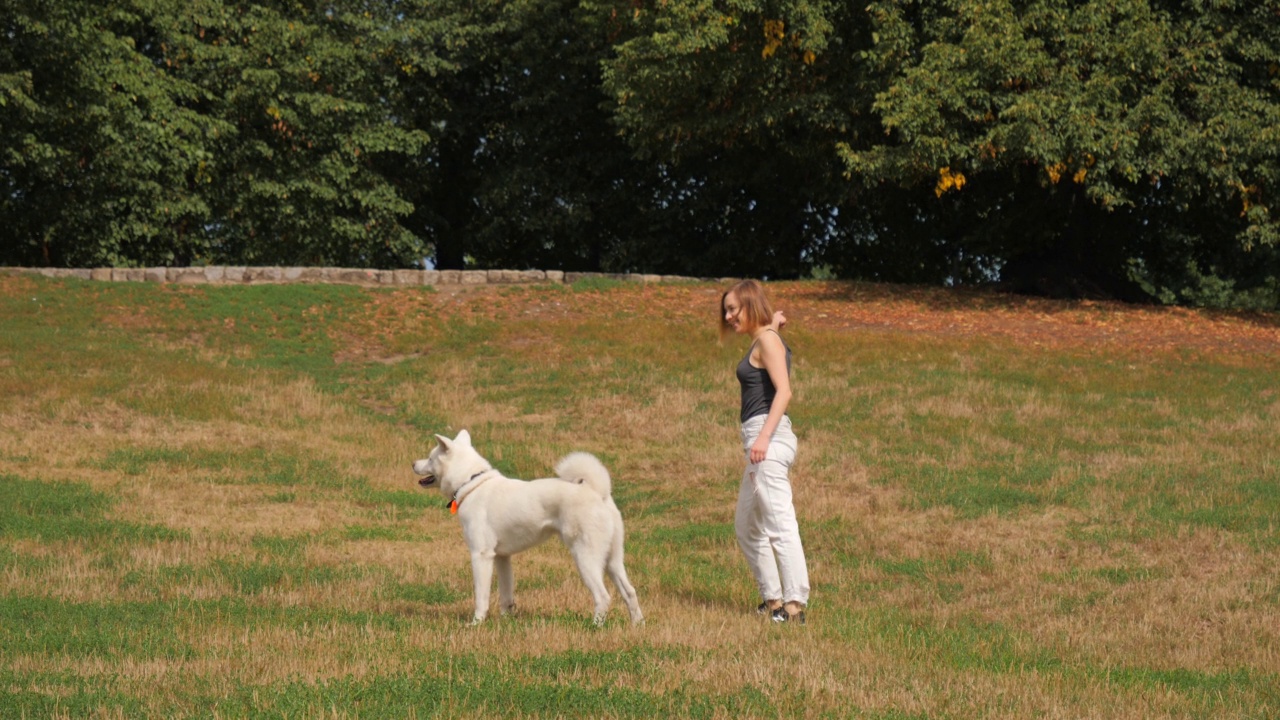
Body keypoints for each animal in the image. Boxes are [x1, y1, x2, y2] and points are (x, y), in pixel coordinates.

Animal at [414, 425, 645, 622]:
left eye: (430, 457)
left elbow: (481, 597)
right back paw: (637, 625)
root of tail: (597, 490)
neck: (471, 482)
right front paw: (505, 621)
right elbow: (506, 595)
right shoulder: (502, 557)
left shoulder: (481, 555)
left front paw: (476, 624)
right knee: (630, 592)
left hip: (586, 557)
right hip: (612, 560)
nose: (413, 464)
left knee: (603, 596)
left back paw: (594, 626)